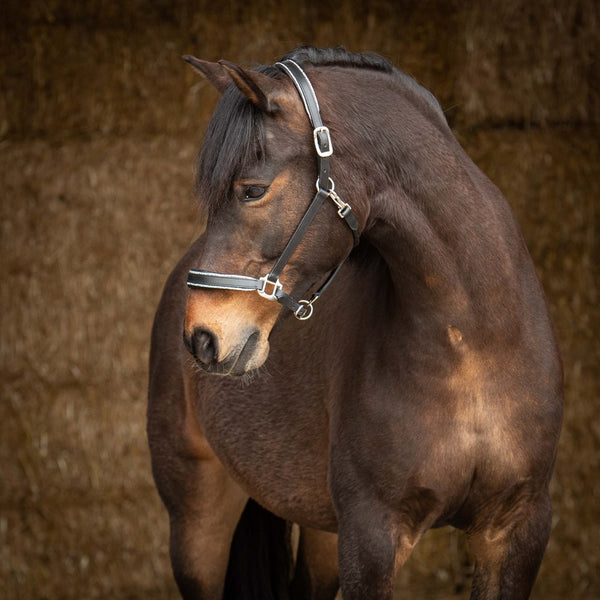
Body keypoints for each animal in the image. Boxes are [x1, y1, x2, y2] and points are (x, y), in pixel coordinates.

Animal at [145, 48, 564, 600]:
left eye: (252, 191)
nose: (202, 337)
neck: (474, 347)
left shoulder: (517, 528)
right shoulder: (372, 534)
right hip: (198, 523)